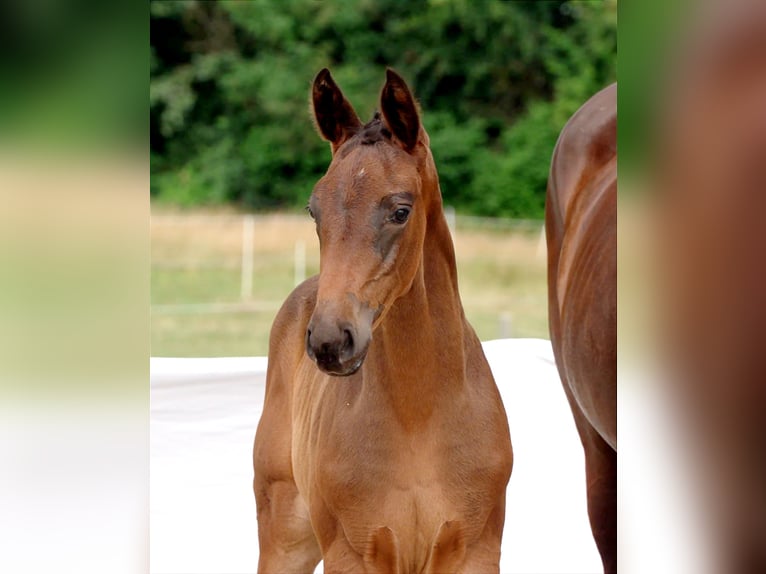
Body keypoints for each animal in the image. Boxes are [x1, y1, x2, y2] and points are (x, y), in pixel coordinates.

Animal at [255, 68, 512, 574]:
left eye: (400, 210)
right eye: (314, 210)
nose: (330, 341)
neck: (419, 416)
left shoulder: (475, 552)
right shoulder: (354, 554)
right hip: (285, 538)